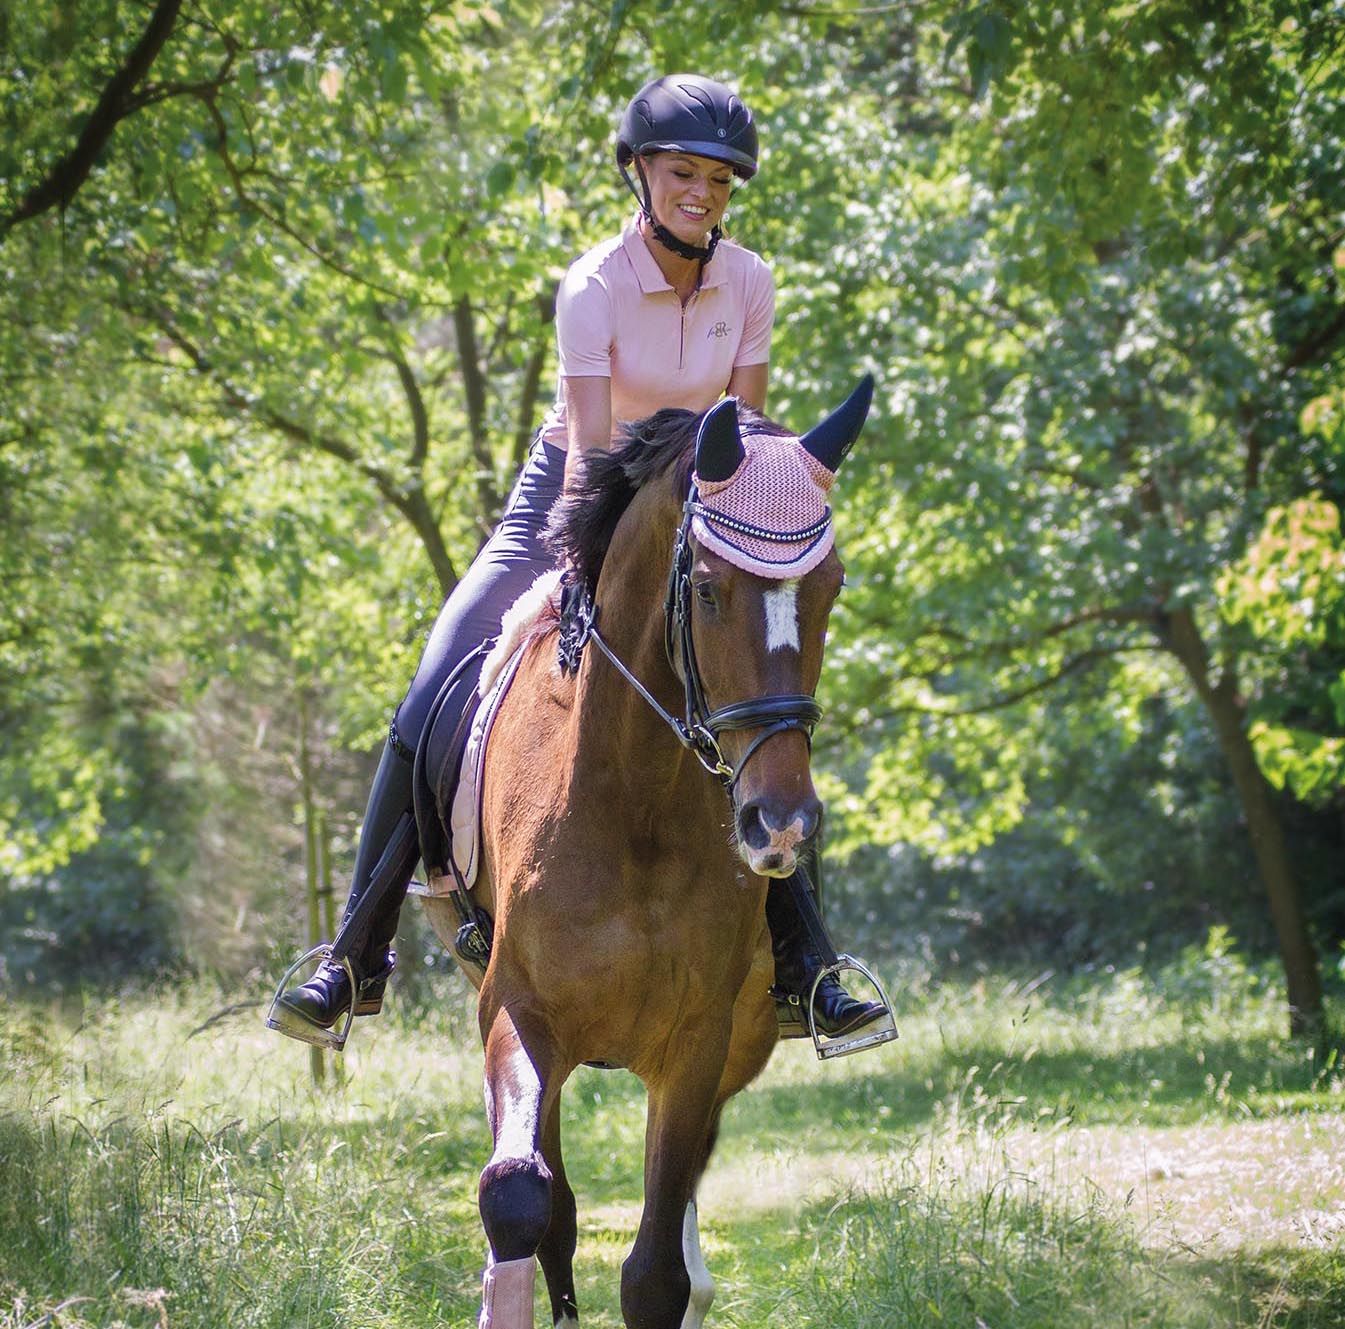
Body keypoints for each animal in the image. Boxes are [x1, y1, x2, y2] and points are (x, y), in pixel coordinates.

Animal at [425, 379, 876, 1323]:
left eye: (830, 587)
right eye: (705, 588)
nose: (780, 823)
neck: (633, 800)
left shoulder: (697, 1041)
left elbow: (657, 1269)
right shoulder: (516, 1009)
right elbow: (520, 1197)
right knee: (549, 1202)